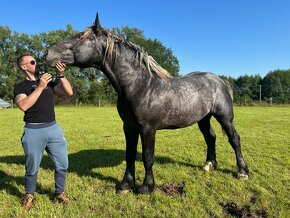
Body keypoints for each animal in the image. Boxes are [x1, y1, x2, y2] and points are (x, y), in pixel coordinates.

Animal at [45, 13, 249, 194]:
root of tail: (219, 80)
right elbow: (129, 154)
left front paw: (146, 187)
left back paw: (242, 172)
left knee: (234, 139)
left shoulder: (148, 129)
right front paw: (125, 185)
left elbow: (147, 157)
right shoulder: (129, 127)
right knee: (210, 138)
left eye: (80, 36)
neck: (140, 85)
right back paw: (209, 165)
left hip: (224, 117)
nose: (48, 52)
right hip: (203, 118)